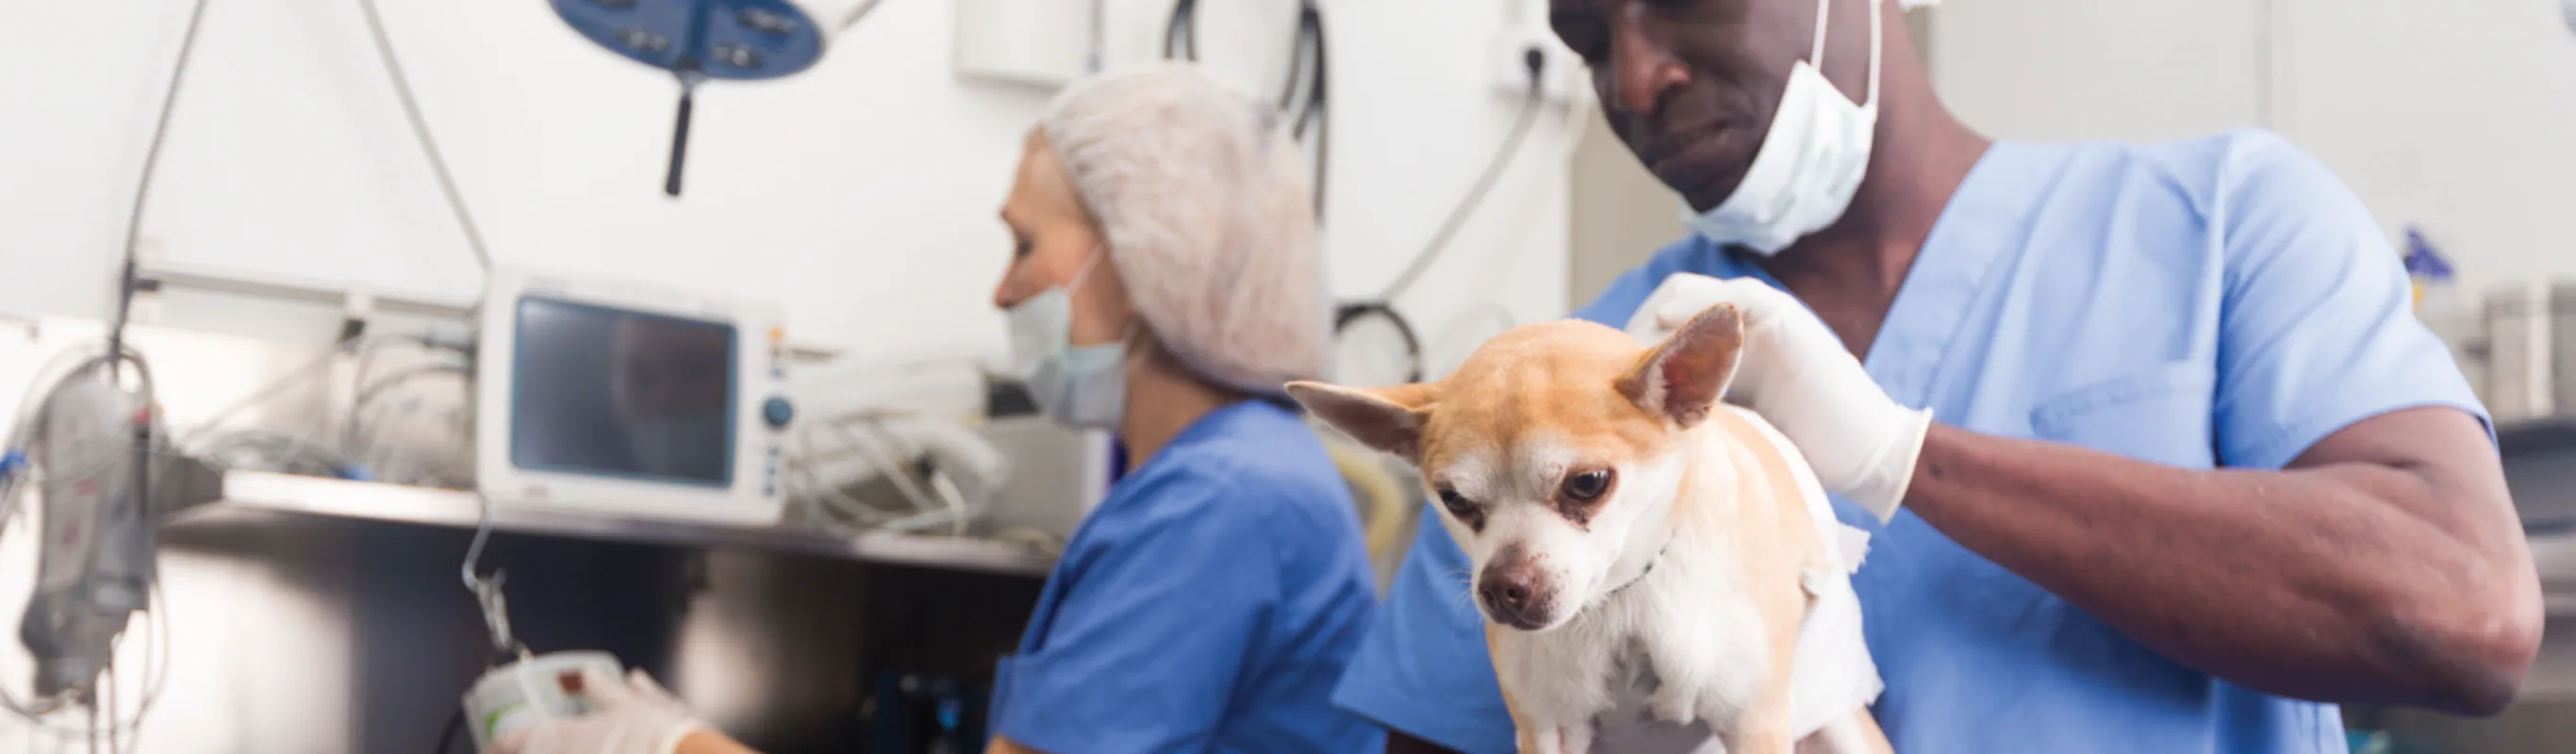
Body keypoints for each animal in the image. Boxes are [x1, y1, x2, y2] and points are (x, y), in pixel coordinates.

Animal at [1288, 302, 1895, 746]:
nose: (1502, 587)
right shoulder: (1548, 728)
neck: (1622, 602)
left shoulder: (1752, 725)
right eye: (1455, 500)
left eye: (1588, 483)